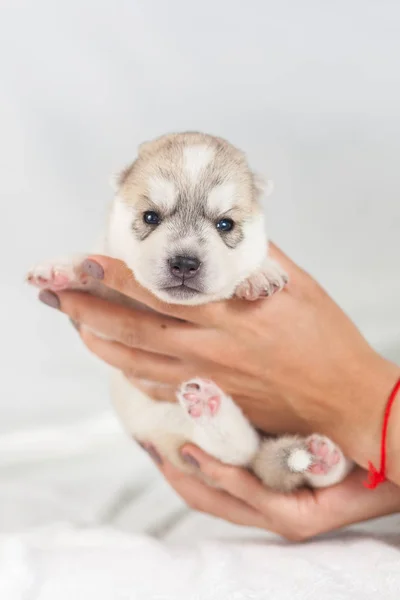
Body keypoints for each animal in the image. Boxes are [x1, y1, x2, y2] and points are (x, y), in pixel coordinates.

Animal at [26, 132, 352, 492]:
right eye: (150, 217)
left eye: (225, 224)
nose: (184, 263)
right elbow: (98, 271)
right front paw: (63, 269)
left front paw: (259, 273)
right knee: (240, 454)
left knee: (243, 455)